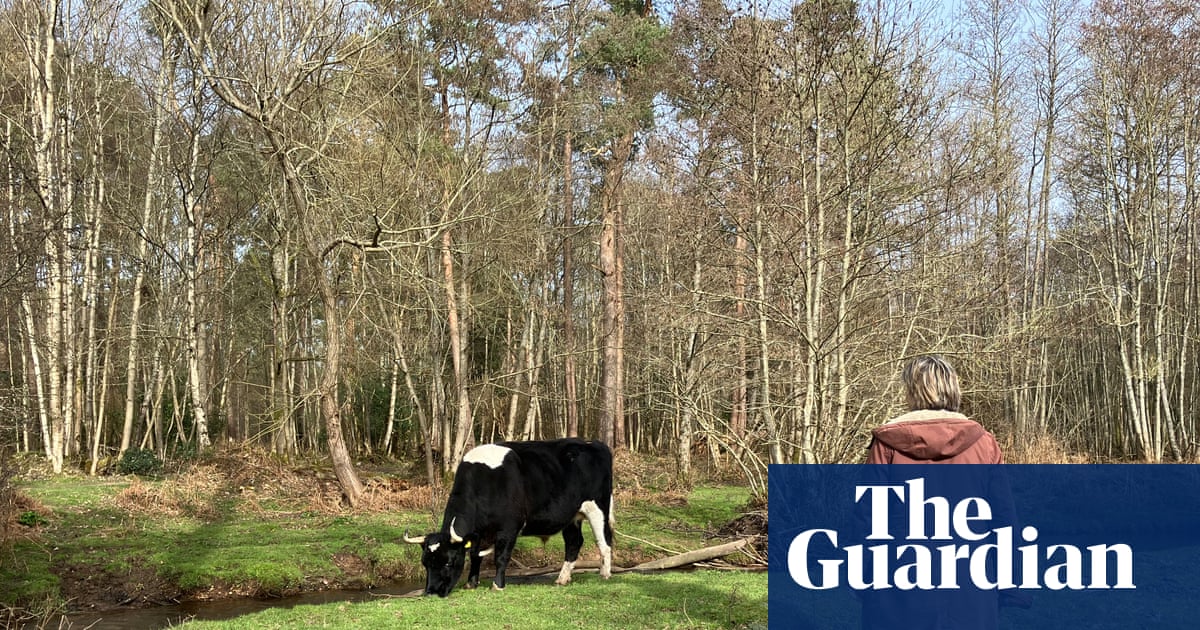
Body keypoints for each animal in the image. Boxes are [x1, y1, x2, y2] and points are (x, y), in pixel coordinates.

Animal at [403, 438, 614, 597]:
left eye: (448, 562)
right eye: (425, 563)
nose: (431, 592)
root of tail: (594, 443)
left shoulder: (509, 527)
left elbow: (501, 557)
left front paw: (497, 585)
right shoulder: (478, 534)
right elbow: (475, 555)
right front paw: (471, 583)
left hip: (598, 507)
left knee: (604, 541)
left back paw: (604, 575)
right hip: (571, 516)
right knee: (573, 543)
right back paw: (562, 579)